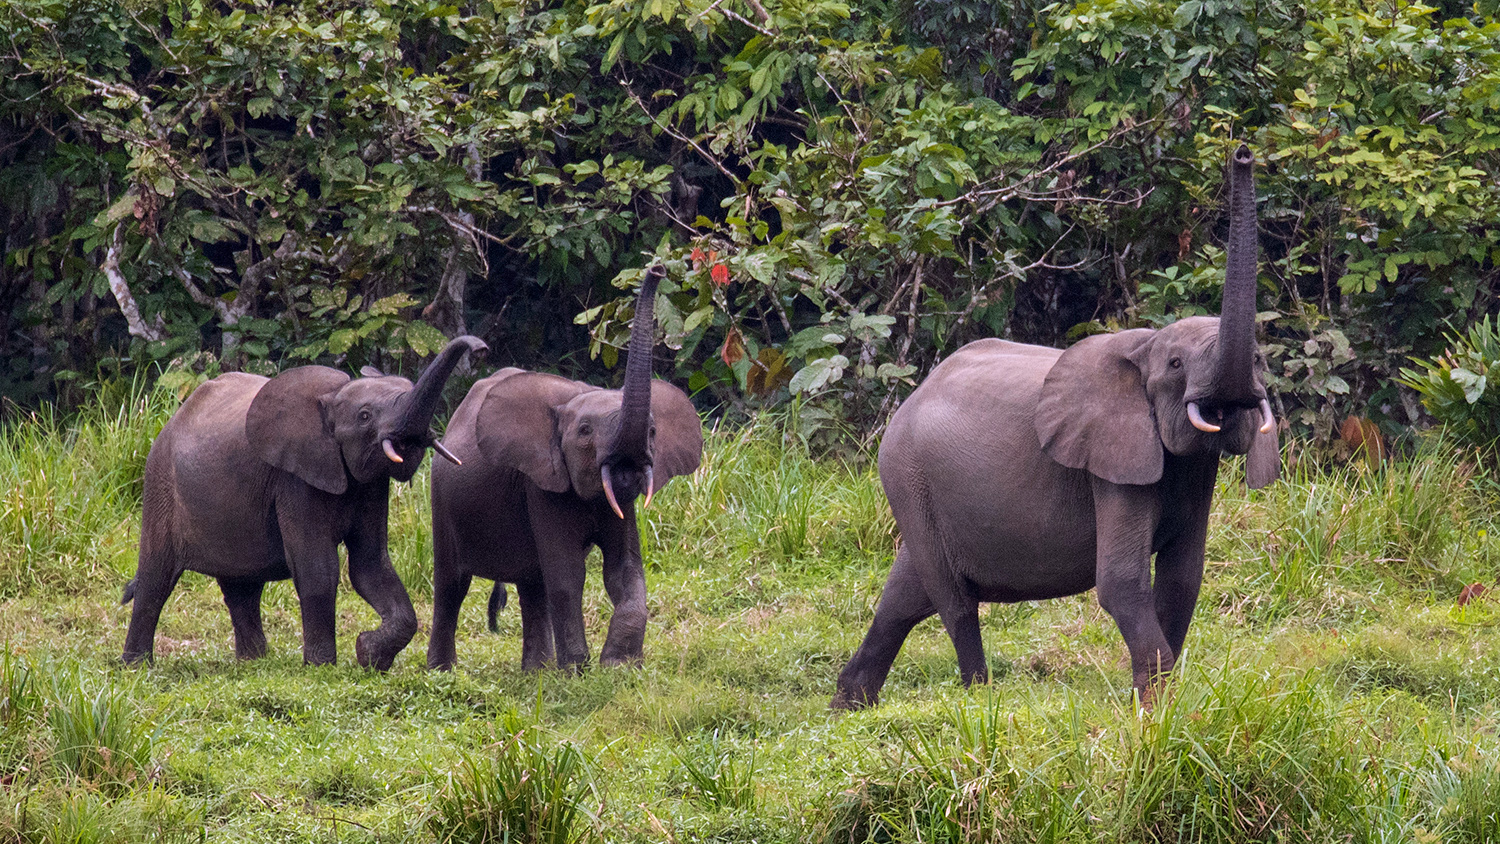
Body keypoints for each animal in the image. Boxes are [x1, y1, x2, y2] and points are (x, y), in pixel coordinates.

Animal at [121, 336, 487, 669]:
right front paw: (323, 666)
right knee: (156, 577)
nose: (480, 348)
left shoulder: (369, 485)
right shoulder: (294, 477)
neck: (332, 398)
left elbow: (371, 564)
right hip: (161, 482)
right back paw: (137, 666)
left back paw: (253, 663)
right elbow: (319, 568)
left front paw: (369, 653)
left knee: (242, 588)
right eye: (365, 416)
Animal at [427, 265, 703, 671]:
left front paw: (619, 666)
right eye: (585, 431)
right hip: (440, 495)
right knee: (451, 585)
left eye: (653, 431)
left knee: (532, 584)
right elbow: (568, 574)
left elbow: (625, 571)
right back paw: (442, 672)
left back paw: (537, 674)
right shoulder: (541, 483)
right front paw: (578, 670)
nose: (657, 268)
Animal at [831, 145, 1280, 710]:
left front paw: (1166, 705)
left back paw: (849, 706)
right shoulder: (1109, 463)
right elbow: (1121, 582)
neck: (1142, 347)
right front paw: (1156, 710)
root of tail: (913, 397)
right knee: (953, 601)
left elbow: (1182, 580)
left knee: (906, 595)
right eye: (1176, 365)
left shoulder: (1194, 468)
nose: (1243, 153)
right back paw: (979, 696)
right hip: (905, 476)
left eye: (1260, 359)